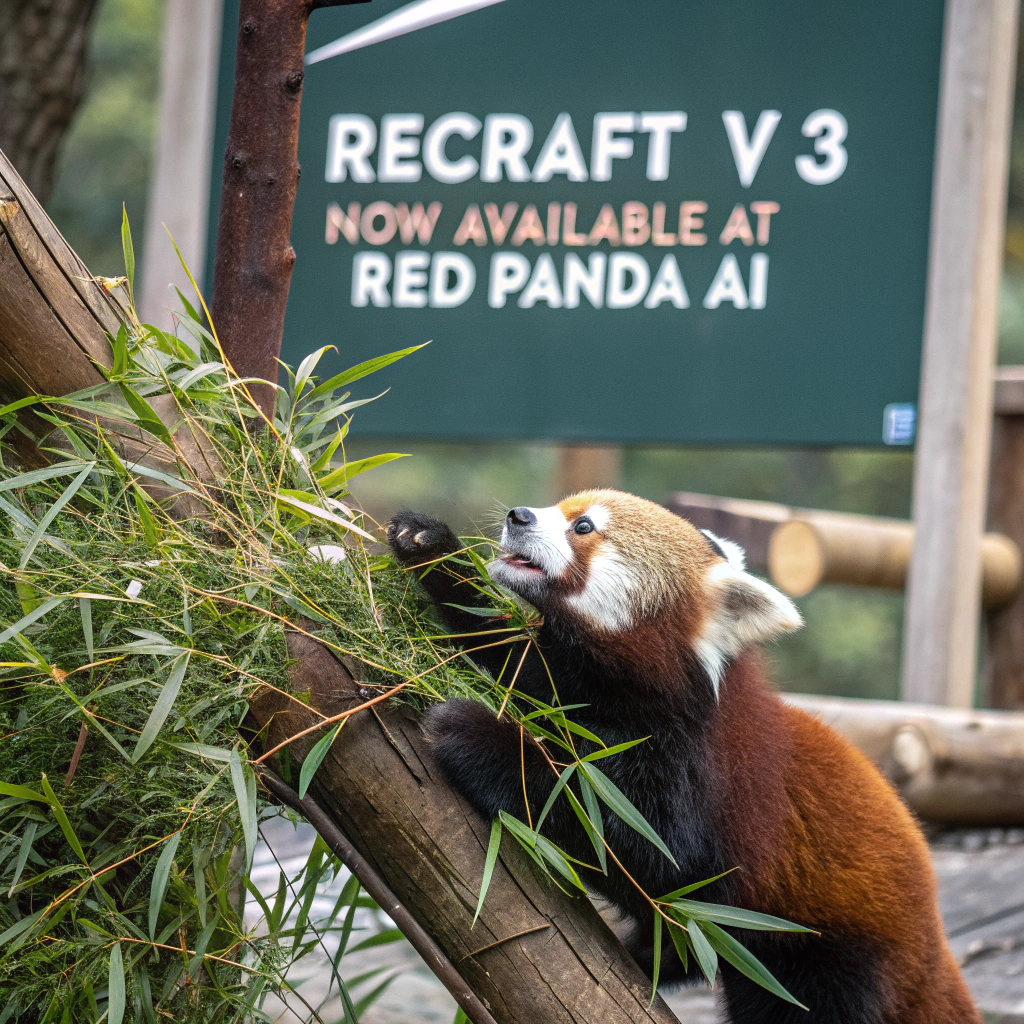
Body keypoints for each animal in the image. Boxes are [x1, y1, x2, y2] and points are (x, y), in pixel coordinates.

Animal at [387, 490, 978, 1024]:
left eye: (583, 527)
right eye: (562, 506)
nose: (519, 515)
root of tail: (933, 947)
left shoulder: (698, 766)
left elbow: (640, 843)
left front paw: (474, 735)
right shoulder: (571, 684)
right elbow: (516, 659)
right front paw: (429, 547)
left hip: (834, 959)